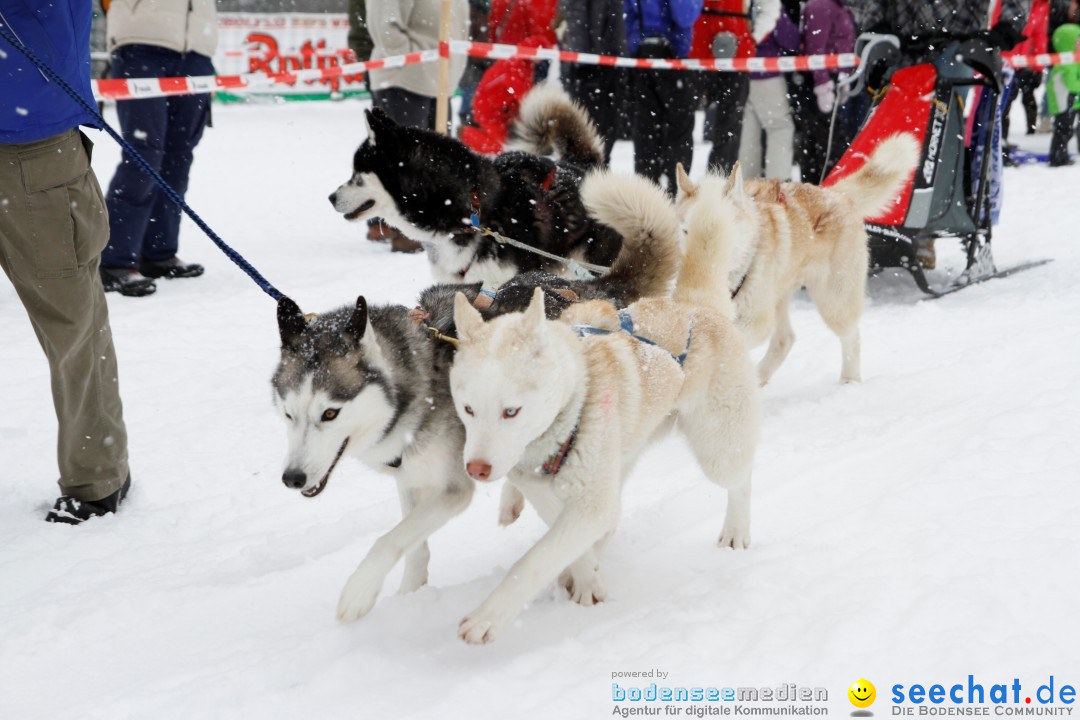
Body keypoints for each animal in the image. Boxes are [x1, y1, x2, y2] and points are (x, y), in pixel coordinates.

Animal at [447, 195, 768, 643]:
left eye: (511, 411)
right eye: (469, 409)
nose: (476, 468)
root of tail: (694, 305)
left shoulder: (588, 504)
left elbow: (535, 560)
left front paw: (488, 616)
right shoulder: (554, 495)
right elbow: (573, 540)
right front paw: (585, 578)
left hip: (717, 450)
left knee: (740, 478)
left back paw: (737, 531)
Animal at [673, 133, 920, 386]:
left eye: (722, 231)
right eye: (686, 231)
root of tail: (835, 195)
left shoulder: (756, 320)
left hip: (834, 301)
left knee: (851, 337)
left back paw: (849, 382)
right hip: (780, 296)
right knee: (786, 339)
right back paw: (759, 379)